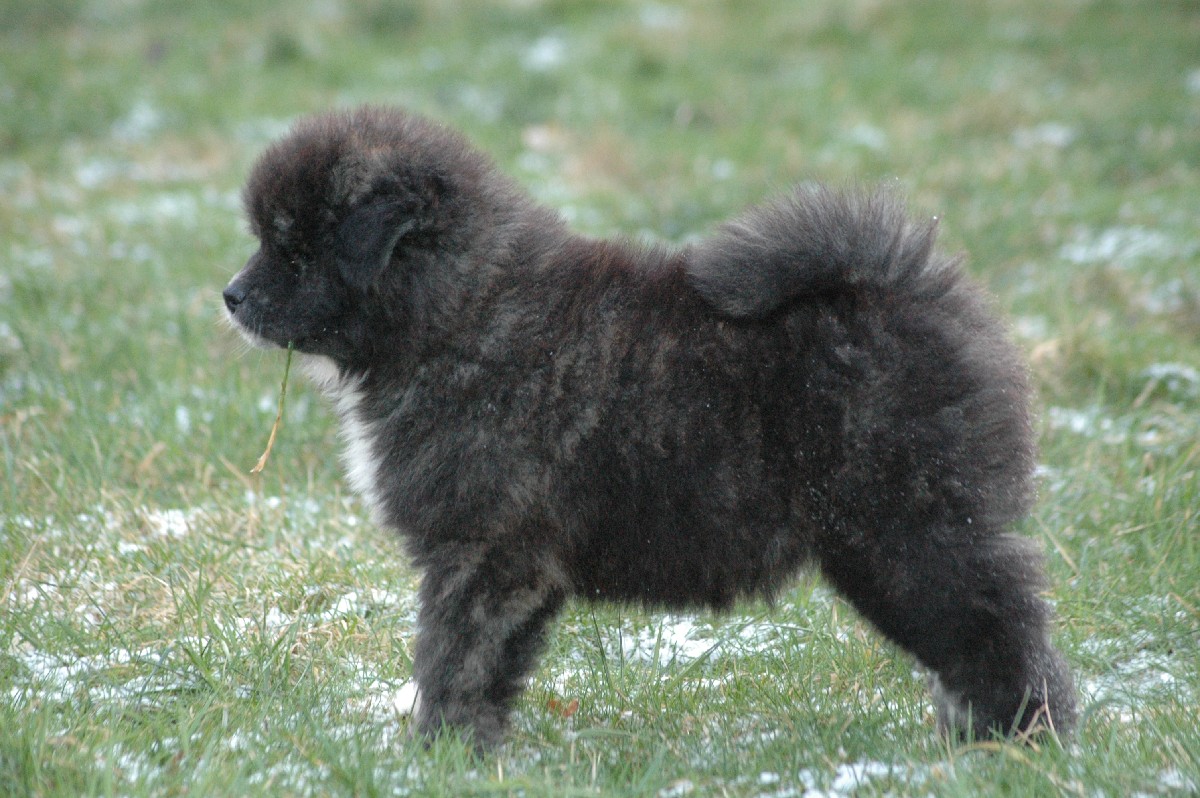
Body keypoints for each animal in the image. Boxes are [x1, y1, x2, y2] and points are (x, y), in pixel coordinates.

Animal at [224, 106, 1076, 749]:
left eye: (296, 251)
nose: (230, 295)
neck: (461, 310)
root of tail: (909, 290)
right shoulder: (507, 563)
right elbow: (481, 665)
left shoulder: (483, 552)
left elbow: (453, 659)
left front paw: (439, 753)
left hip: (901, 533)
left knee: (995, 626)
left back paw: (1019, 741)